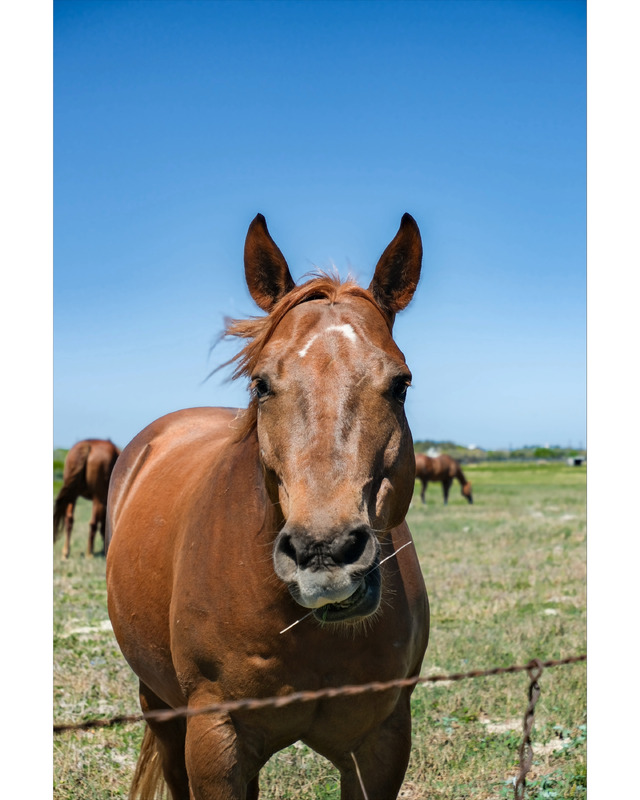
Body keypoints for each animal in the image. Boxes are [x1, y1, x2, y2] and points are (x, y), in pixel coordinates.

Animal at [105, 213, 429, 800]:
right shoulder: (215, 738)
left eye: (400, 383)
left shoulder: (381, 740)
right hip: (161, 707)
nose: (324, 553)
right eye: (261, 383)